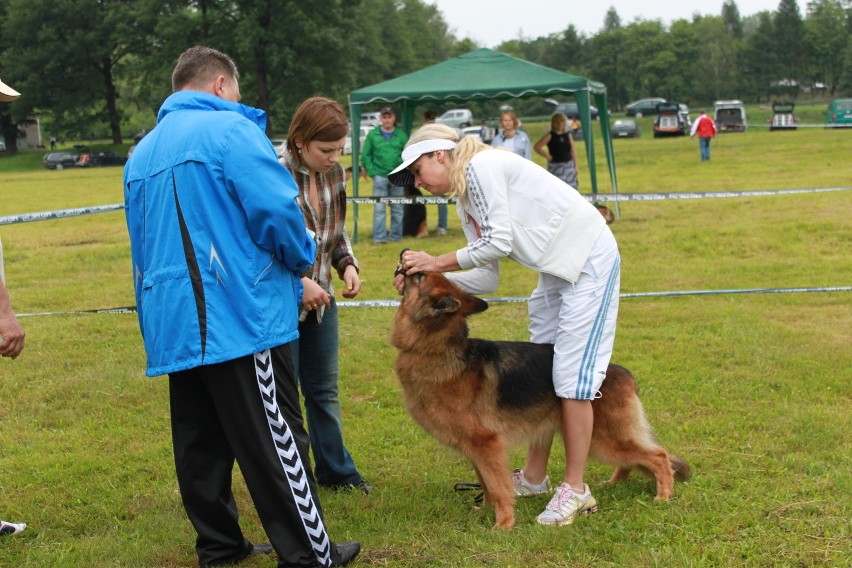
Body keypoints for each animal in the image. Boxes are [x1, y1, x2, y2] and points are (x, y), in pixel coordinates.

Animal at [392, 270, 692, 528]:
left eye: (419, 276)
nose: (404, 258)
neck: (436, 348)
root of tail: (621, 372)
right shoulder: (475, 449)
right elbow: (486, 482)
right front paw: (486, 510)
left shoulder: (485, 444)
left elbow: (497, 487)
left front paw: (503, 524)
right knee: (634, 458)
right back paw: (615, 482)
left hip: (602, 439)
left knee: (657, 455)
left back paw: (663, 496)